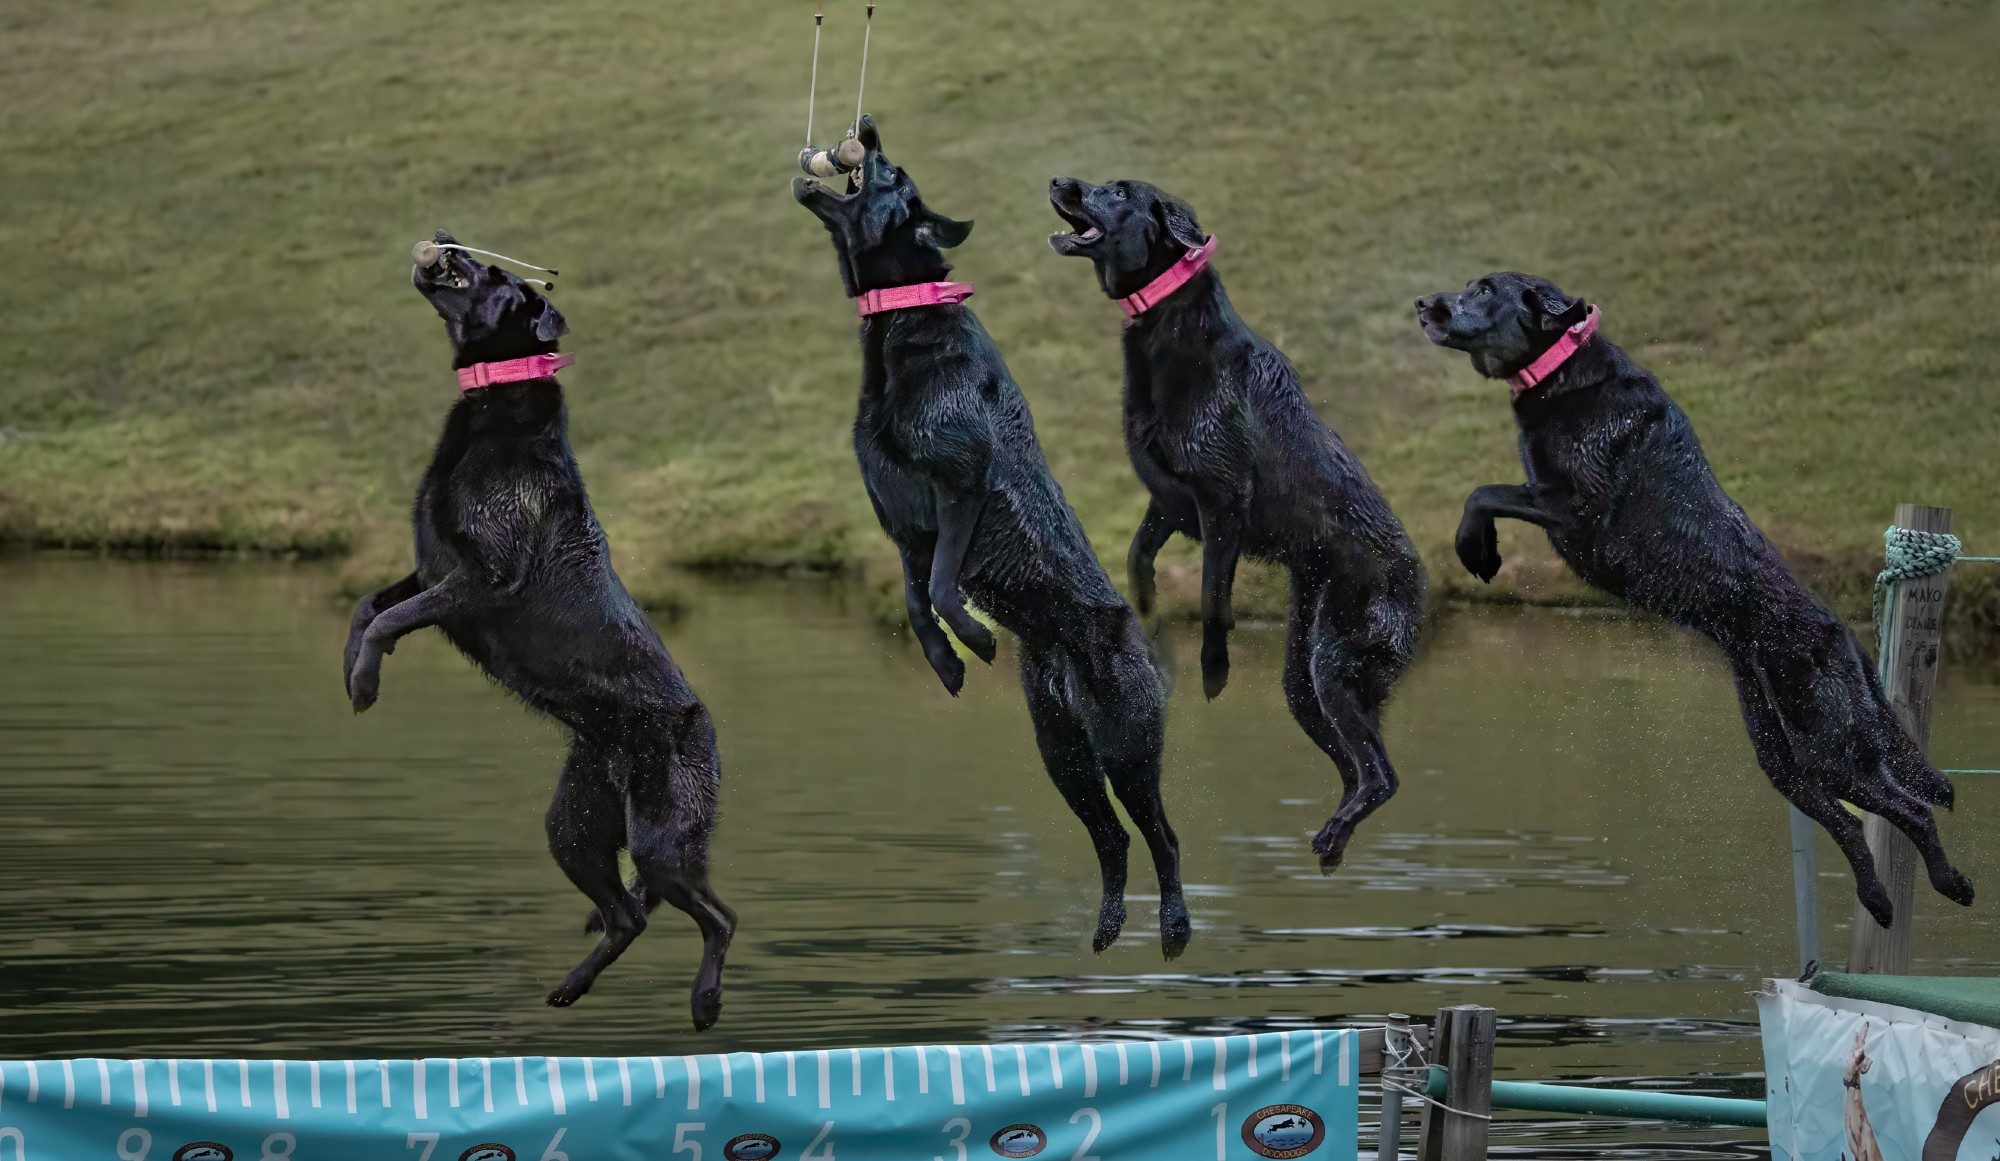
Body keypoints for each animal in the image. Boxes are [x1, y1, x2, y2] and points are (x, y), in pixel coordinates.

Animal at [344, 233, 736, 1024]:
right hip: (574, 826)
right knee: (628, 916)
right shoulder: (433, 570)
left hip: (662, 839)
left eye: (491, 272)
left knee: (718, 917)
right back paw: (570, 986)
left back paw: (705, 999)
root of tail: (705, 725)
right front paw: (350, 673)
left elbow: (388, 618)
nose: (444, 240)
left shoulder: (482, 577)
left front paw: (365, 684)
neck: (494, 397)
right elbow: (368, 606)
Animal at [792, 118, 1184, 956]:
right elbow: (915, 604)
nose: (867, 128)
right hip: (1063, 752)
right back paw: (1107, 925)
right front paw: (947, 663)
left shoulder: (961, 484)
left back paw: (1175, 925)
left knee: (1162, 835)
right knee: (1113, 839)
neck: (900, 321)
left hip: (1125, 745)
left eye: (887, 170)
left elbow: (943, 588)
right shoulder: (903, 523)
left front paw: (973, 638)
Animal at [1056, 177, 1432, 864]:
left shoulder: (1222, 501)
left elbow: (1213, 593)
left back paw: (1334, 835)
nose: (1059, 182)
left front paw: (1213, 672)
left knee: (1383, 775)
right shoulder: (1169, 502)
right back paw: (1332, 840)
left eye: (1118, 190)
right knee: (1357, 768)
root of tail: (1421, 580)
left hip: (1335, 662)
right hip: (1303, 681)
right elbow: (1137, 558)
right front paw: (1148, 618)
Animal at [1424, 274, 1968, 924]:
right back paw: (1878, 899)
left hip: (1832, 744)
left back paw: (1951, 883)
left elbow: (1482, 492)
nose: (1423, 304)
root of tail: (1843, 631)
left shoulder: (1577, 507)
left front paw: (1475, 550)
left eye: (1484, 289)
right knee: (1850, 823)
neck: (1563, 372)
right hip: (1784, 758)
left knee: (1913, 807)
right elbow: (1485, 491)